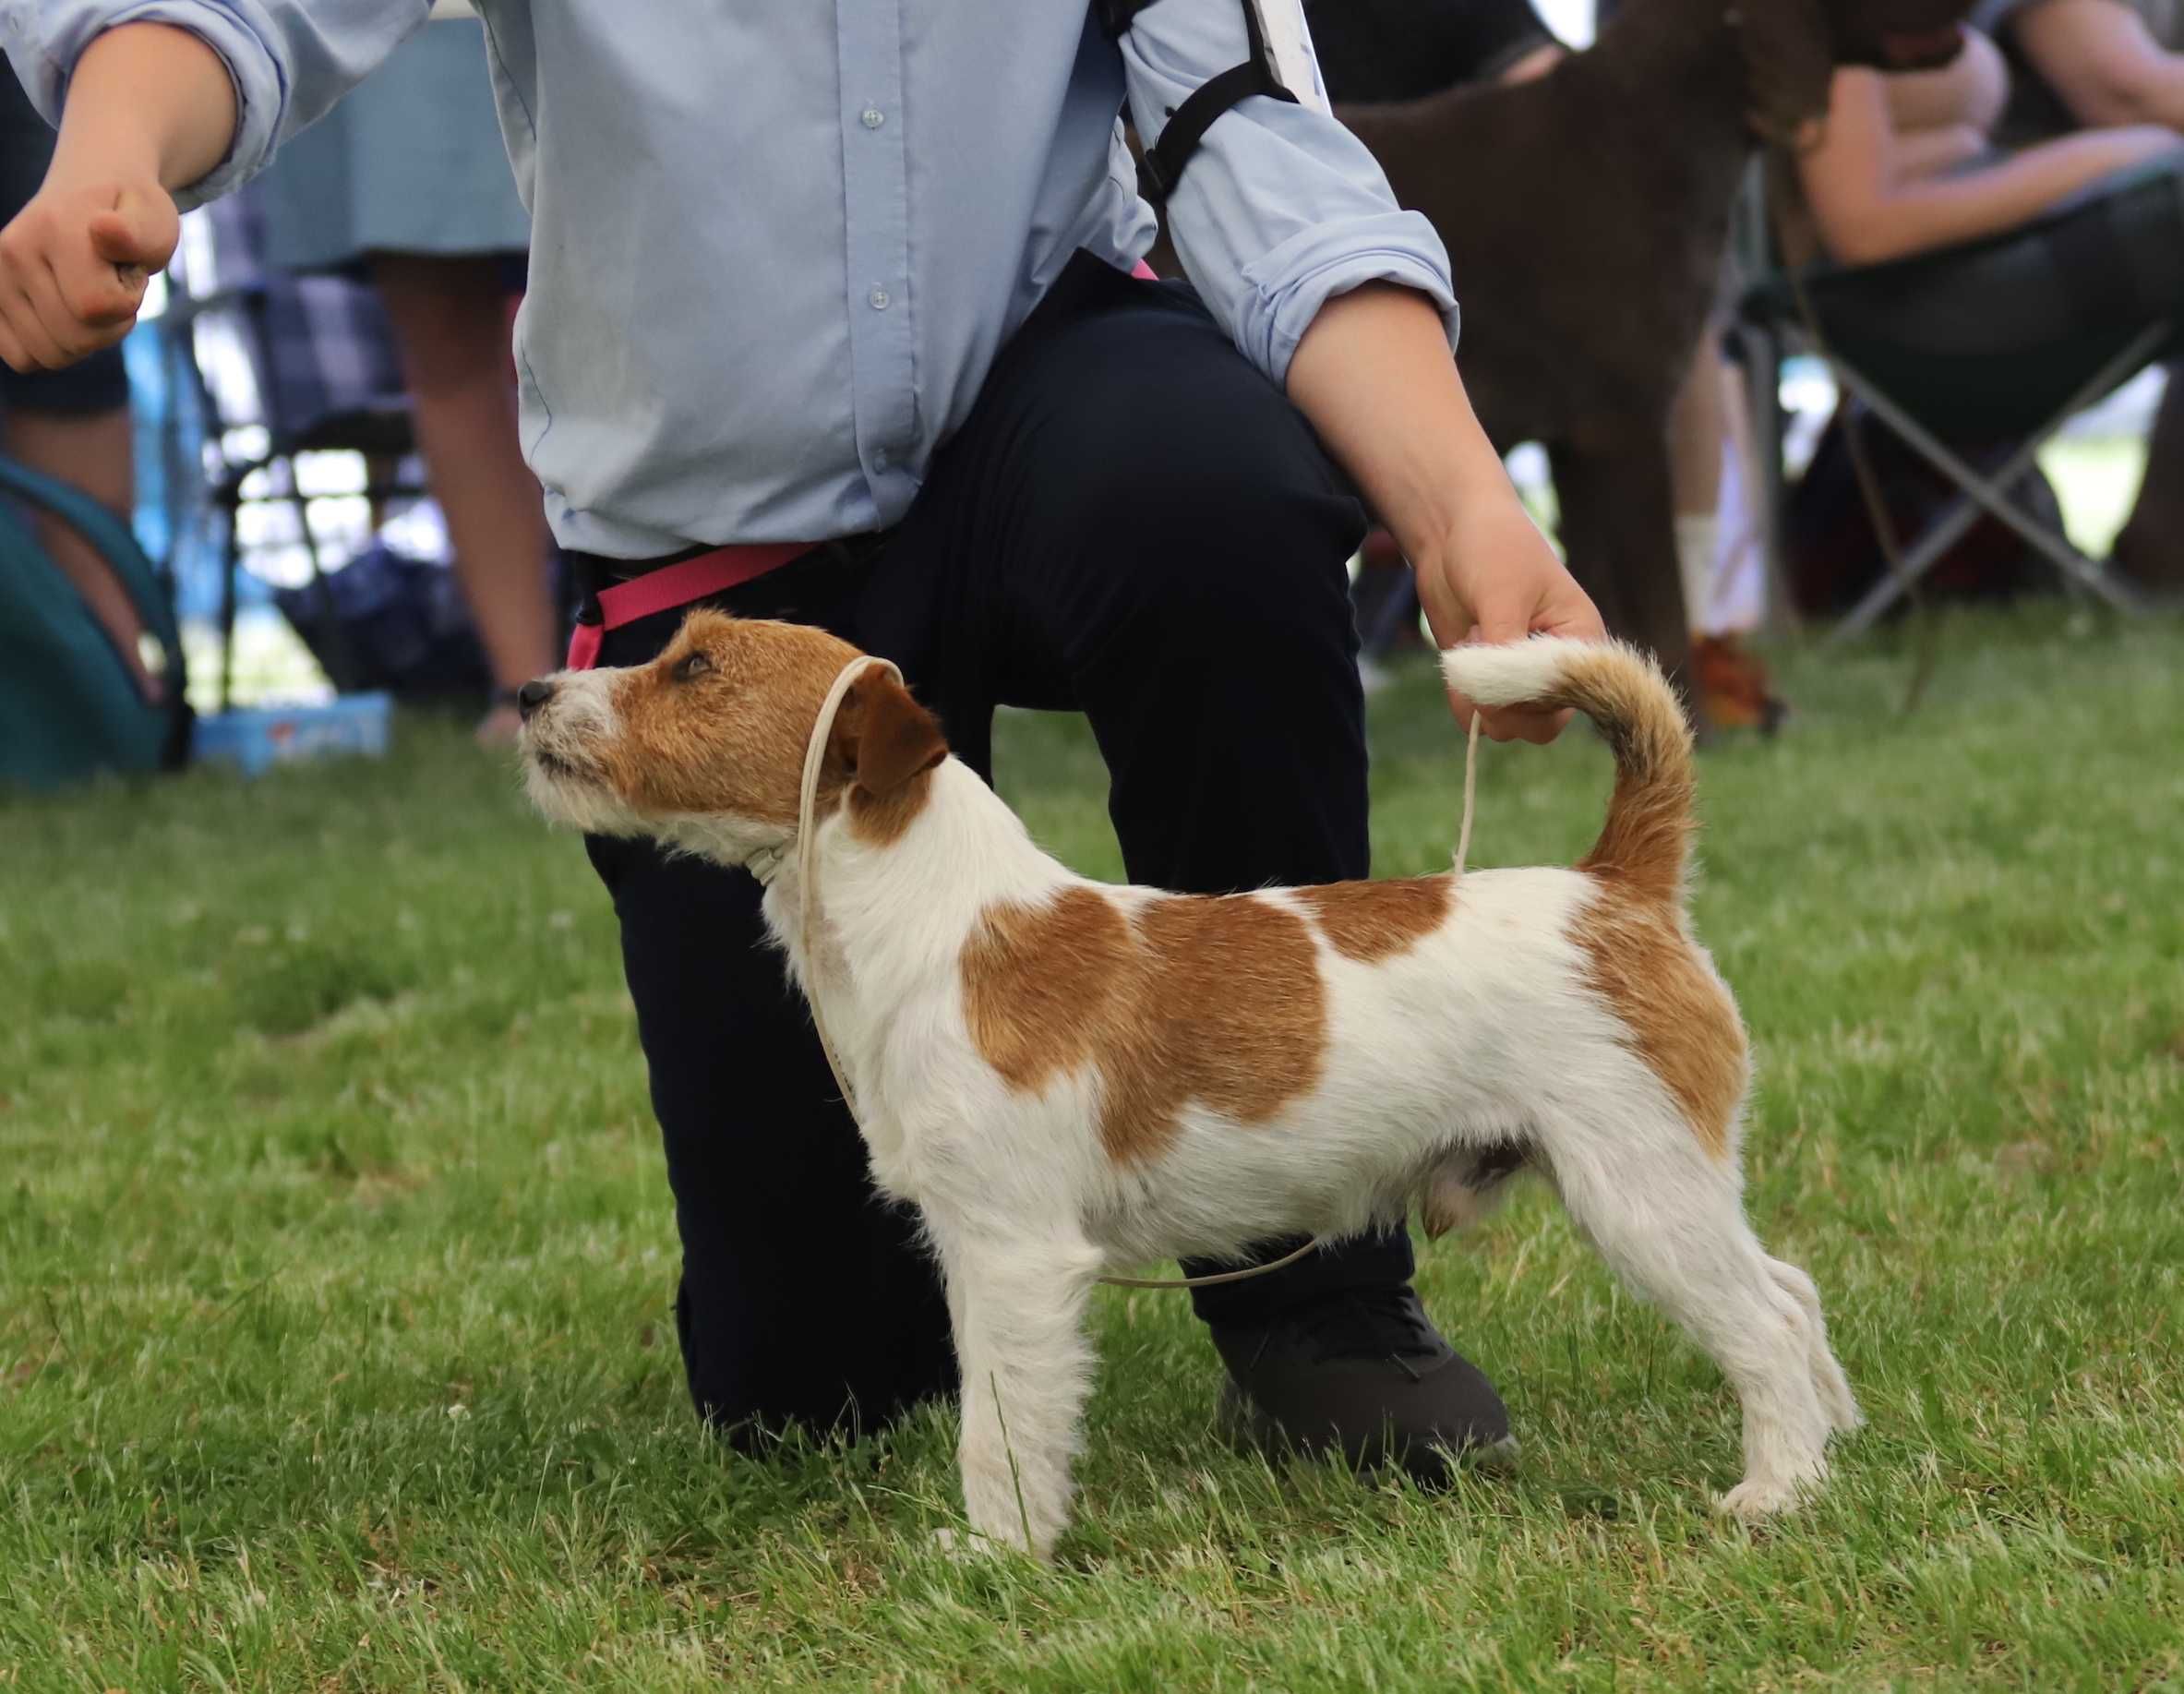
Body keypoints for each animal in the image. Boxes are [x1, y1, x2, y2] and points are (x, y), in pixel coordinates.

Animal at [515, 611, 1860, 1563]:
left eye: (694, 666)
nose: (530, 690)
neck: (942, 925)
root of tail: (1615, 885)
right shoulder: (969, 1249)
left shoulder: (1012, 1256)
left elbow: (1002, 1421)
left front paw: (995, 1554)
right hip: (1672, 1179)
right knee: (1792, 1289)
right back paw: (1835, 1439)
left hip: (1637, 1185)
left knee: (1763, 1317)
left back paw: (1774, 1490)